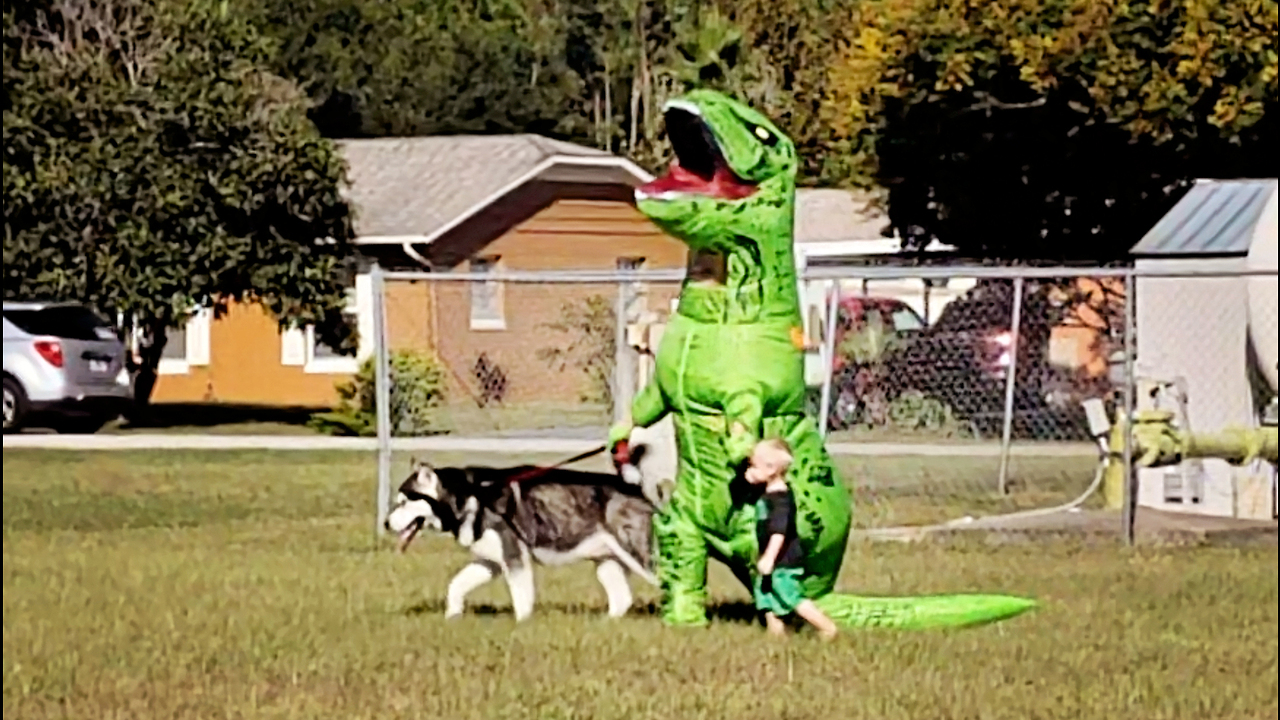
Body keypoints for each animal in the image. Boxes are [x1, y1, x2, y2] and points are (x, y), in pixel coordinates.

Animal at [384, 456, 665, 620]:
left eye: (404, 502)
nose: (386, 523)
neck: (473, 497)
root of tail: (634, 487)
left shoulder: (513, 556)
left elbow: (521, 597)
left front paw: (521, 624)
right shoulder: (490, 561)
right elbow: (456, 584)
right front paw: (452, 615)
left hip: (641, 555)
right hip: (607, 562)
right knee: (622, 599)